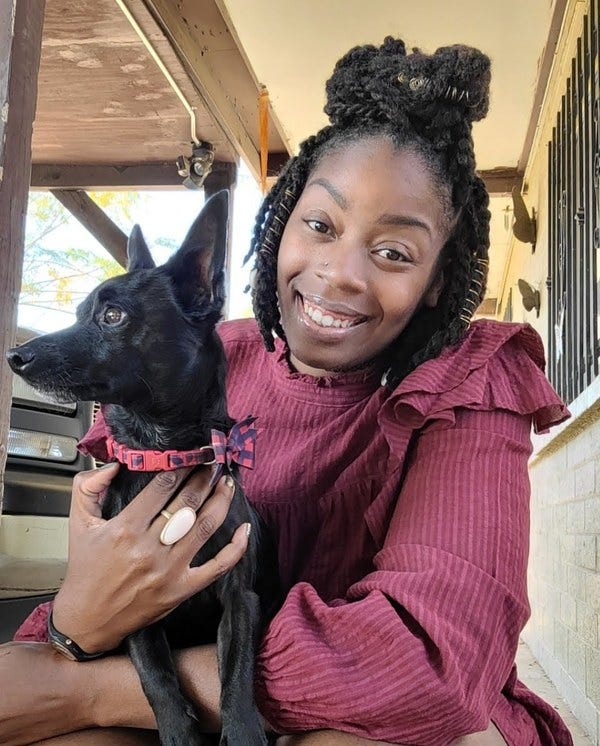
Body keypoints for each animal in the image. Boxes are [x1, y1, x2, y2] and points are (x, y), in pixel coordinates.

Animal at [7, 193, 278, 744]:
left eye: (112, 315)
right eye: (78, 313)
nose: (14, 355)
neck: (159, 451)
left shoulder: (240, 599)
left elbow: (236, 672)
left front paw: (242, 731)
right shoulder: (133, 607)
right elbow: (154, 675)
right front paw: (179, 732)